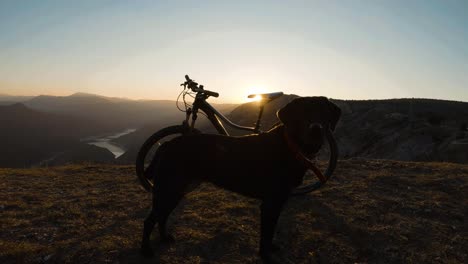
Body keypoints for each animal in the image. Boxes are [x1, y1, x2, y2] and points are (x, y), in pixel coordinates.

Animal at [139, 97, 340, 262]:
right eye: (301, 113)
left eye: (324, 112)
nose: (316, 129)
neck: (291, 146)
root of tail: (167, 144)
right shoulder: (270, 203)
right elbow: (266, 233)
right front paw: (265, 255)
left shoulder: (279, 201)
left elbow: (272, 229)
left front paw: (271, 247)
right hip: (169, 189)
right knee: (149, 220)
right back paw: (146, 250)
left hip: (176, 190)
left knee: (162, 216)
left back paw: (164, 238)